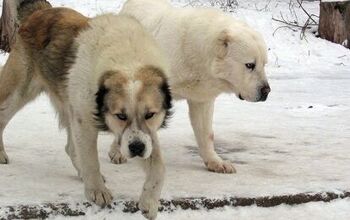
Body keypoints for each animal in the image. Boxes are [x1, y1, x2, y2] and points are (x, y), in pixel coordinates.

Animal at [0, 0, 171, 218]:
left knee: (71, 147)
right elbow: (91, 160)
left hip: (69, 103)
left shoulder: (146, 134)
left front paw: (149, 201)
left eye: (150, 115)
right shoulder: (85, 122)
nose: (137, 149)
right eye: (120, 115)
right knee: (2, 118)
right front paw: (97, 190)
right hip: (18, 93)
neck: (127, 61)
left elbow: (159, 168)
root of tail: (41, 10)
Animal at [119, 0, 272, 174]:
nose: (266, 91)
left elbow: (206, 133)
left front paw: (215, 162)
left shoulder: (202, 96)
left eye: (264, 64)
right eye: (249, 65)